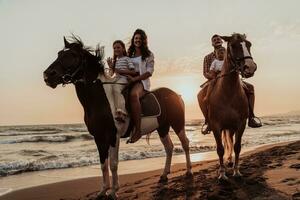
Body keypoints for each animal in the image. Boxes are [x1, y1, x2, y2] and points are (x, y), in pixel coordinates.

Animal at [43, 36, 191, 198]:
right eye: (59, 54)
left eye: (72, 55)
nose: (47, 75)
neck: (100, 100)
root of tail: (176, 95)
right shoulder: (99, 137)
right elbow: (103, 164)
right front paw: (103, 191)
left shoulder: (113, 135)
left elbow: (113, 164)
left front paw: (114, 191)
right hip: (162, 127)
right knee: (169, 148)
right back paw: (164, 175)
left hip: (177, 124)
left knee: (185, 143)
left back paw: (189, 171)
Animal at [199, 33, 258, 180]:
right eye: (234, 45)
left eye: (249, 44)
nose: (250, 67)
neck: (228, 93)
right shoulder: (216, 126)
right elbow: (220, 149)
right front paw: (222, 174)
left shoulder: (240, 124)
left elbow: (237, 147)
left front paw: (236, 171)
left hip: (230, 128)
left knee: (230, 142)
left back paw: (230, 162)